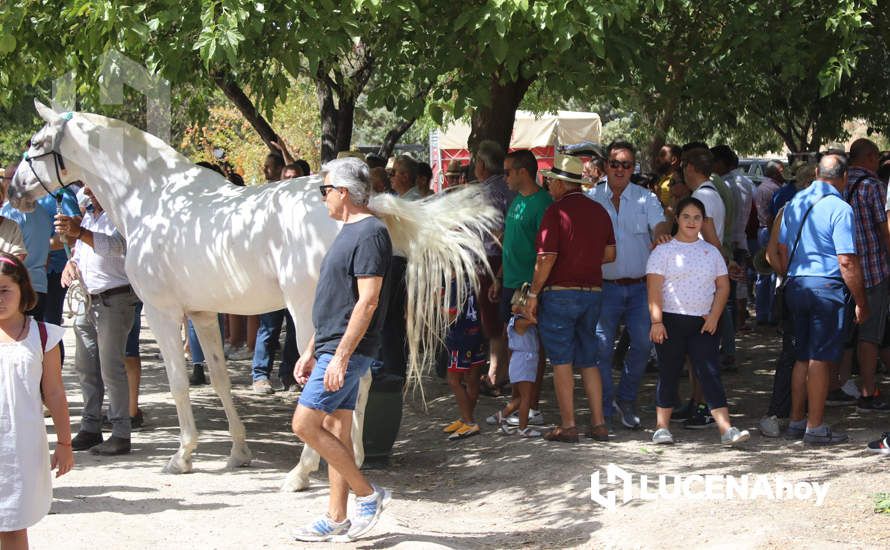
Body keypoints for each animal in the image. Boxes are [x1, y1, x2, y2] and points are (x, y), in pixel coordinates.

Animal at [13, 101, 496, 490]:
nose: (16, 190)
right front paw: (238, 453)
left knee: (326, 378)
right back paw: (351, 457)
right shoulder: (203, 314)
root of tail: (365, 207)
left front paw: (182, 456)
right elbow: (220, 380)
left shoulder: (163, 312)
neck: (154, 198)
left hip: (307, 315)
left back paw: (303, 472)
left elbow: (178, 385)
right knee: (358, 378)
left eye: (36, 143)